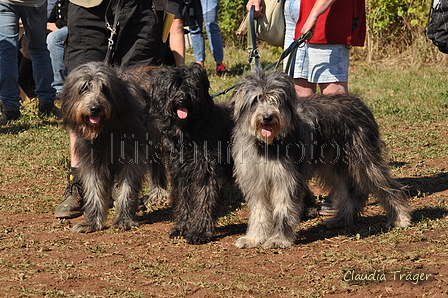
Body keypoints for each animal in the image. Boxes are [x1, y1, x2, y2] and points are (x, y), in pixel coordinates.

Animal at [60, 61, 166, 233]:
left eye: (104, 88)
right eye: (84, 88)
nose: (95, 108)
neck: (106, 129)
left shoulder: (131, 155)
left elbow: (127, 188)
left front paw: (124, 219)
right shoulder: (93, 159)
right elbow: (94, 190)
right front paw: (92, 222)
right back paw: (157, 193)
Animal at [147, 62, 233, 244]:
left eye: (191, 85)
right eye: (173, 86)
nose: (182, 99)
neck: (188, 131)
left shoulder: (207, 171)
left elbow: (204, 200)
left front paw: (199, 232)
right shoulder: (181, 173)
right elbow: (183, 201)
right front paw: (181, 228)